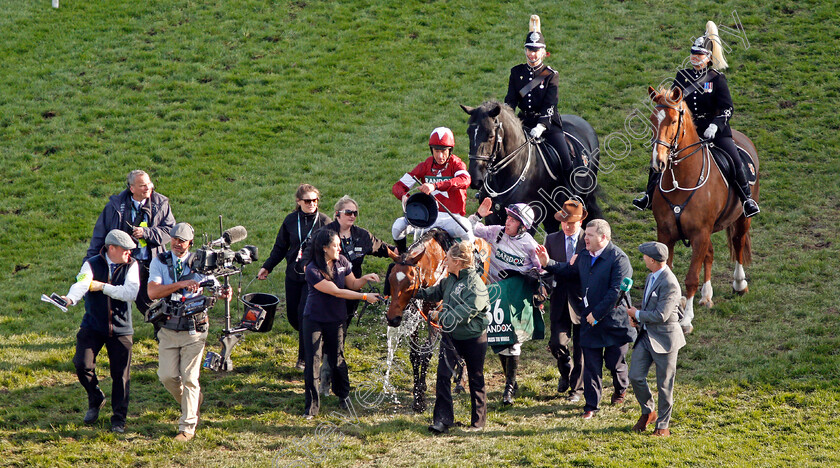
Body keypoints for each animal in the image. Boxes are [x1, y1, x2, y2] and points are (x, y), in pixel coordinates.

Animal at [648, 86, 756, 334]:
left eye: (673, 120)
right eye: (652, 120)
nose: (658, 162)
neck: (681, 180)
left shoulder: (700, 233)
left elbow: (690, 278)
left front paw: (686, 320)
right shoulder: (666, 233)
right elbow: (668, 272)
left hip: (742, 217)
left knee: (738, 242)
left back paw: (739, 284)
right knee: (711, 253)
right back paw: (706, 296)